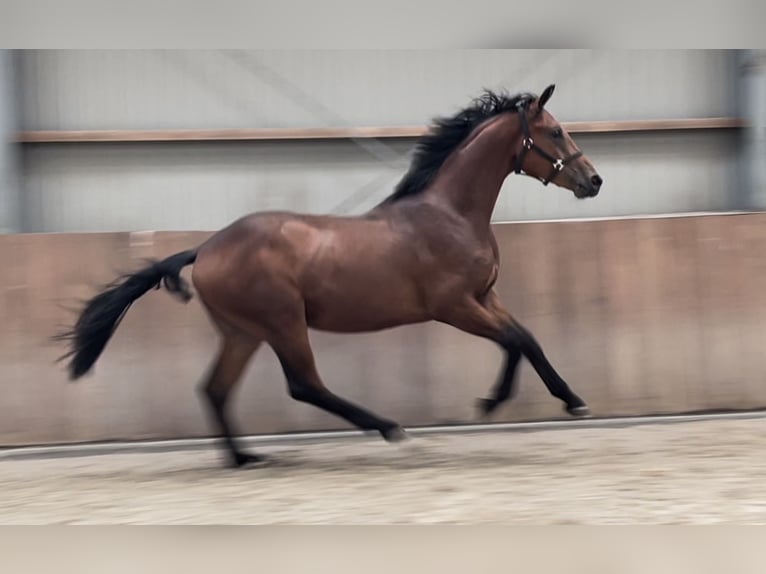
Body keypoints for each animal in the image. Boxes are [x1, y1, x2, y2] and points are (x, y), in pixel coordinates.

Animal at [57, 86, 604, 472]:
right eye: (555, 131)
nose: (593, 181)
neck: (449, 215)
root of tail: (206, 249)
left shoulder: (484, 297)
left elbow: (528, 338)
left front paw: (572, 401)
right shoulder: (454, 307)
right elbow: (514, 341)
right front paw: (492, 403)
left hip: (242, 332)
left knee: (215, 389)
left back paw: (243, 459)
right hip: (282, 323)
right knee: (304, 385)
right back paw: (387, 428)